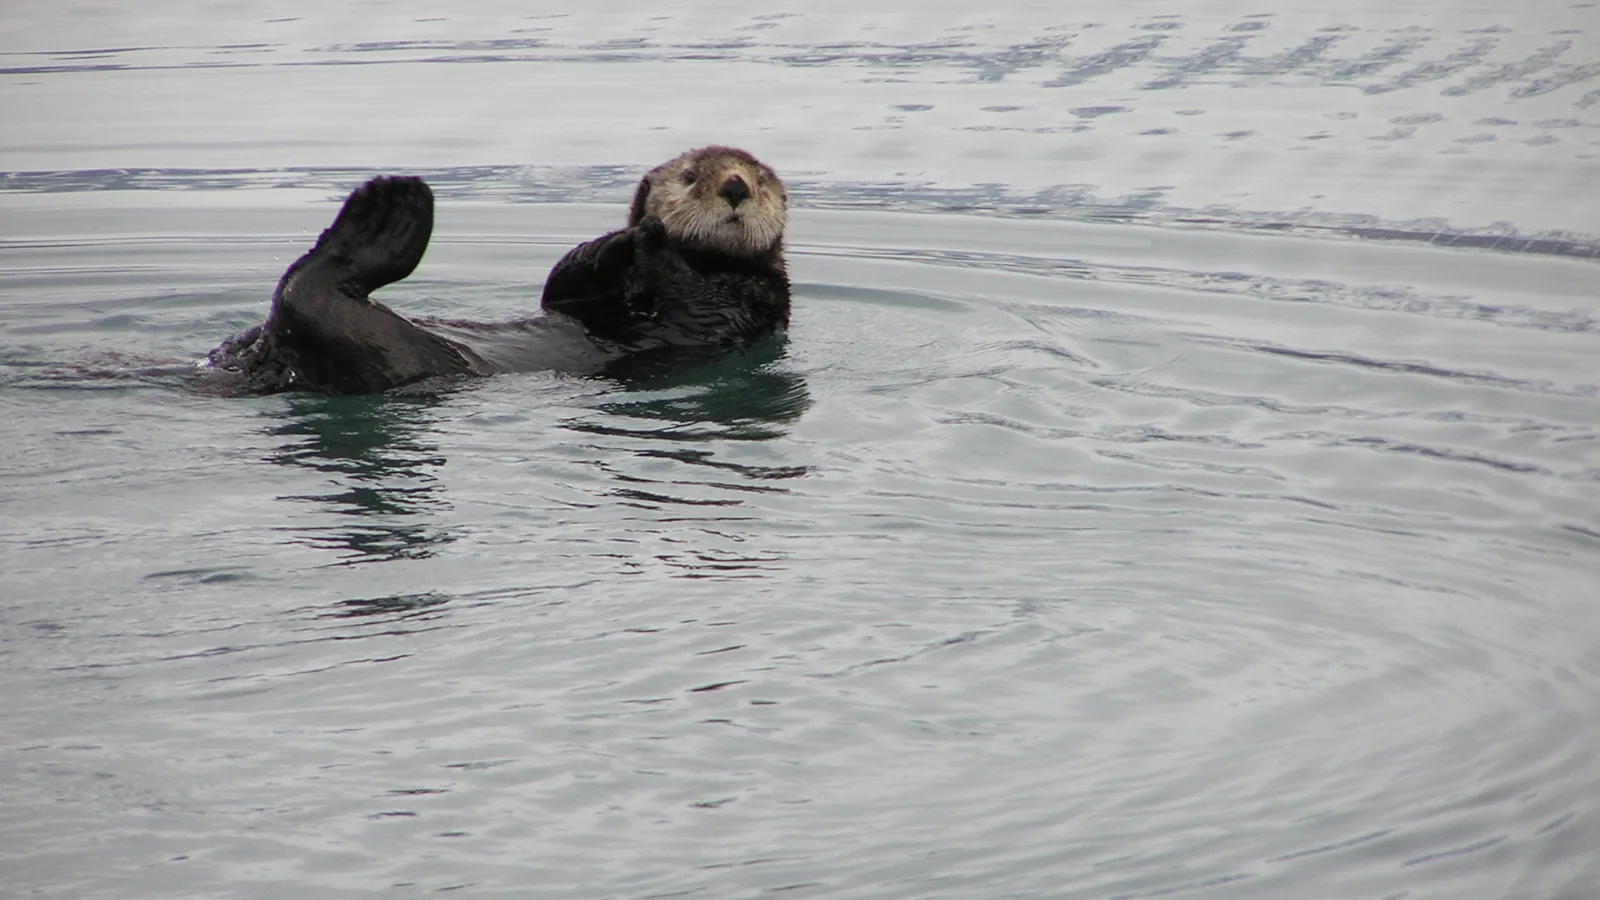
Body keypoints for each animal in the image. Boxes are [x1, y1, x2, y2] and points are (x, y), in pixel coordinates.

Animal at [206, 146, 790, 394]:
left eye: (760, 180)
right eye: (691, 176)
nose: (734, 186)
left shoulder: (756, 300)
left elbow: (702, 306)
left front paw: (652, 241)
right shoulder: (574, 295)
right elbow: (561, 289)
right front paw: (612, 243)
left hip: (387, 353)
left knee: (311, 297)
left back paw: (388, 209)